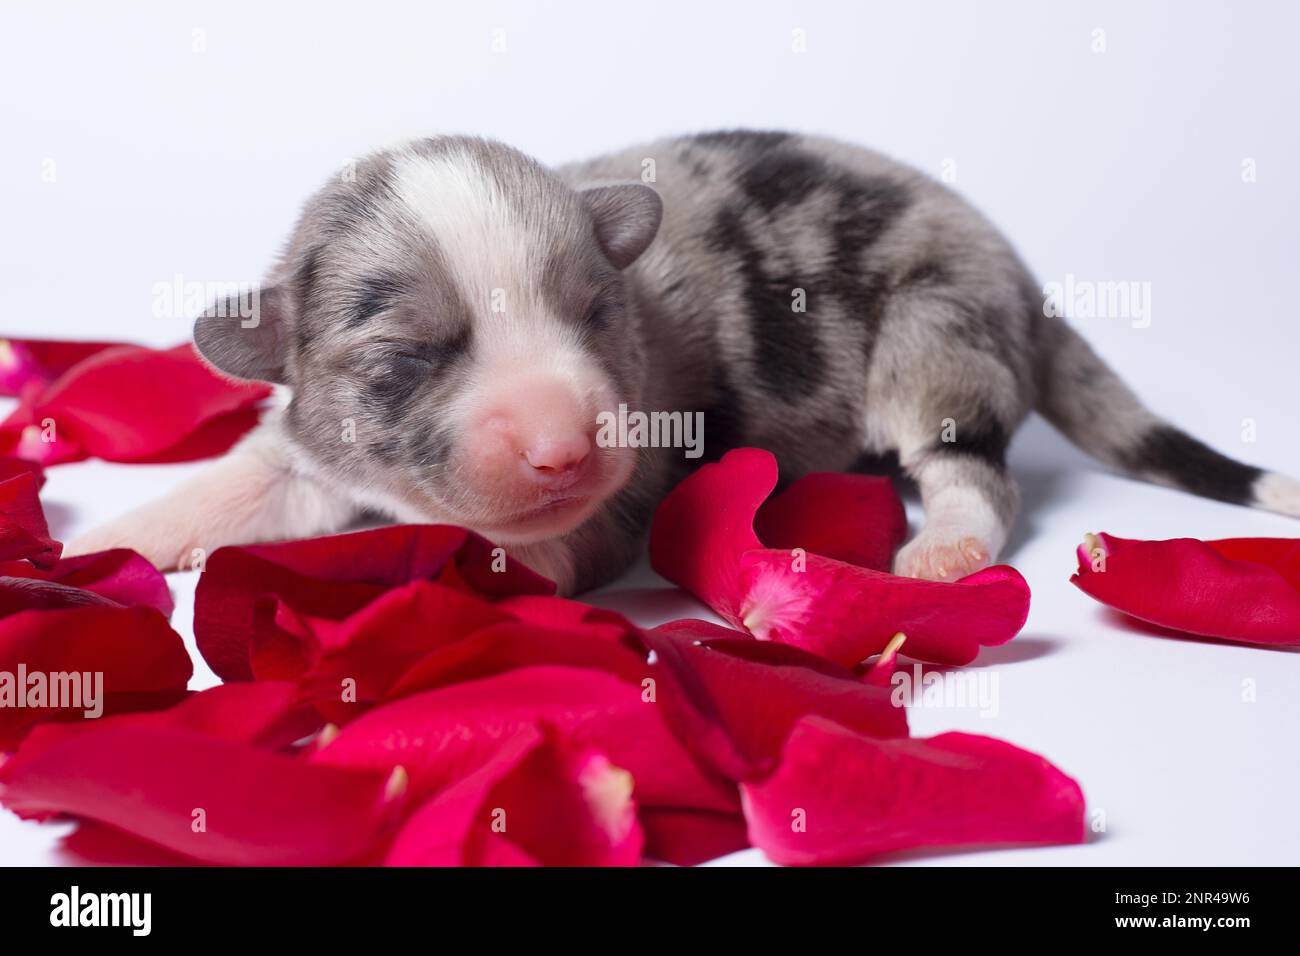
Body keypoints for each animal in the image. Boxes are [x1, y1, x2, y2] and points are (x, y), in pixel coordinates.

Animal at [68, 127, 1300, 590]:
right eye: (416, 353)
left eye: (593, 313)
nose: (564, 444)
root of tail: (1028, 281)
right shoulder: (310, 443)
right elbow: (238, 483)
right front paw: (101, 543)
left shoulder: (607, 510)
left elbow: (526, 549)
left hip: (938, 328)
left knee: (970, 466)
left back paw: (944, 545)